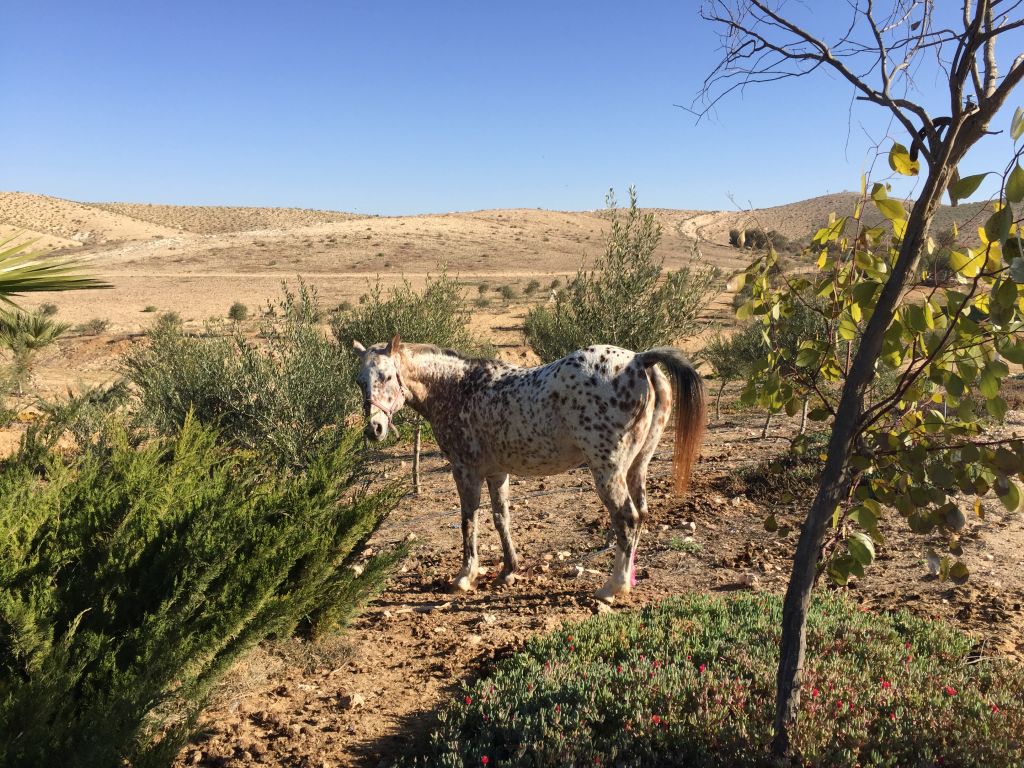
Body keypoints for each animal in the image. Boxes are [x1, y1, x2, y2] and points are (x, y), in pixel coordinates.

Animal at [351, 335, 706, 604]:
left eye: (386, 377)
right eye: (359, 381)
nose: (374, 429)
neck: (458, 389)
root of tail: (638, 361)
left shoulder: (466, 471)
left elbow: (469, 522)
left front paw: (466, 576)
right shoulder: (497, 473)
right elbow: (501, 518)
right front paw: (509, 570)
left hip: (608, 471)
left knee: (627, 518)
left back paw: (612, 587)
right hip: (637, 466)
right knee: (641, 515)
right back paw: (629, 579)